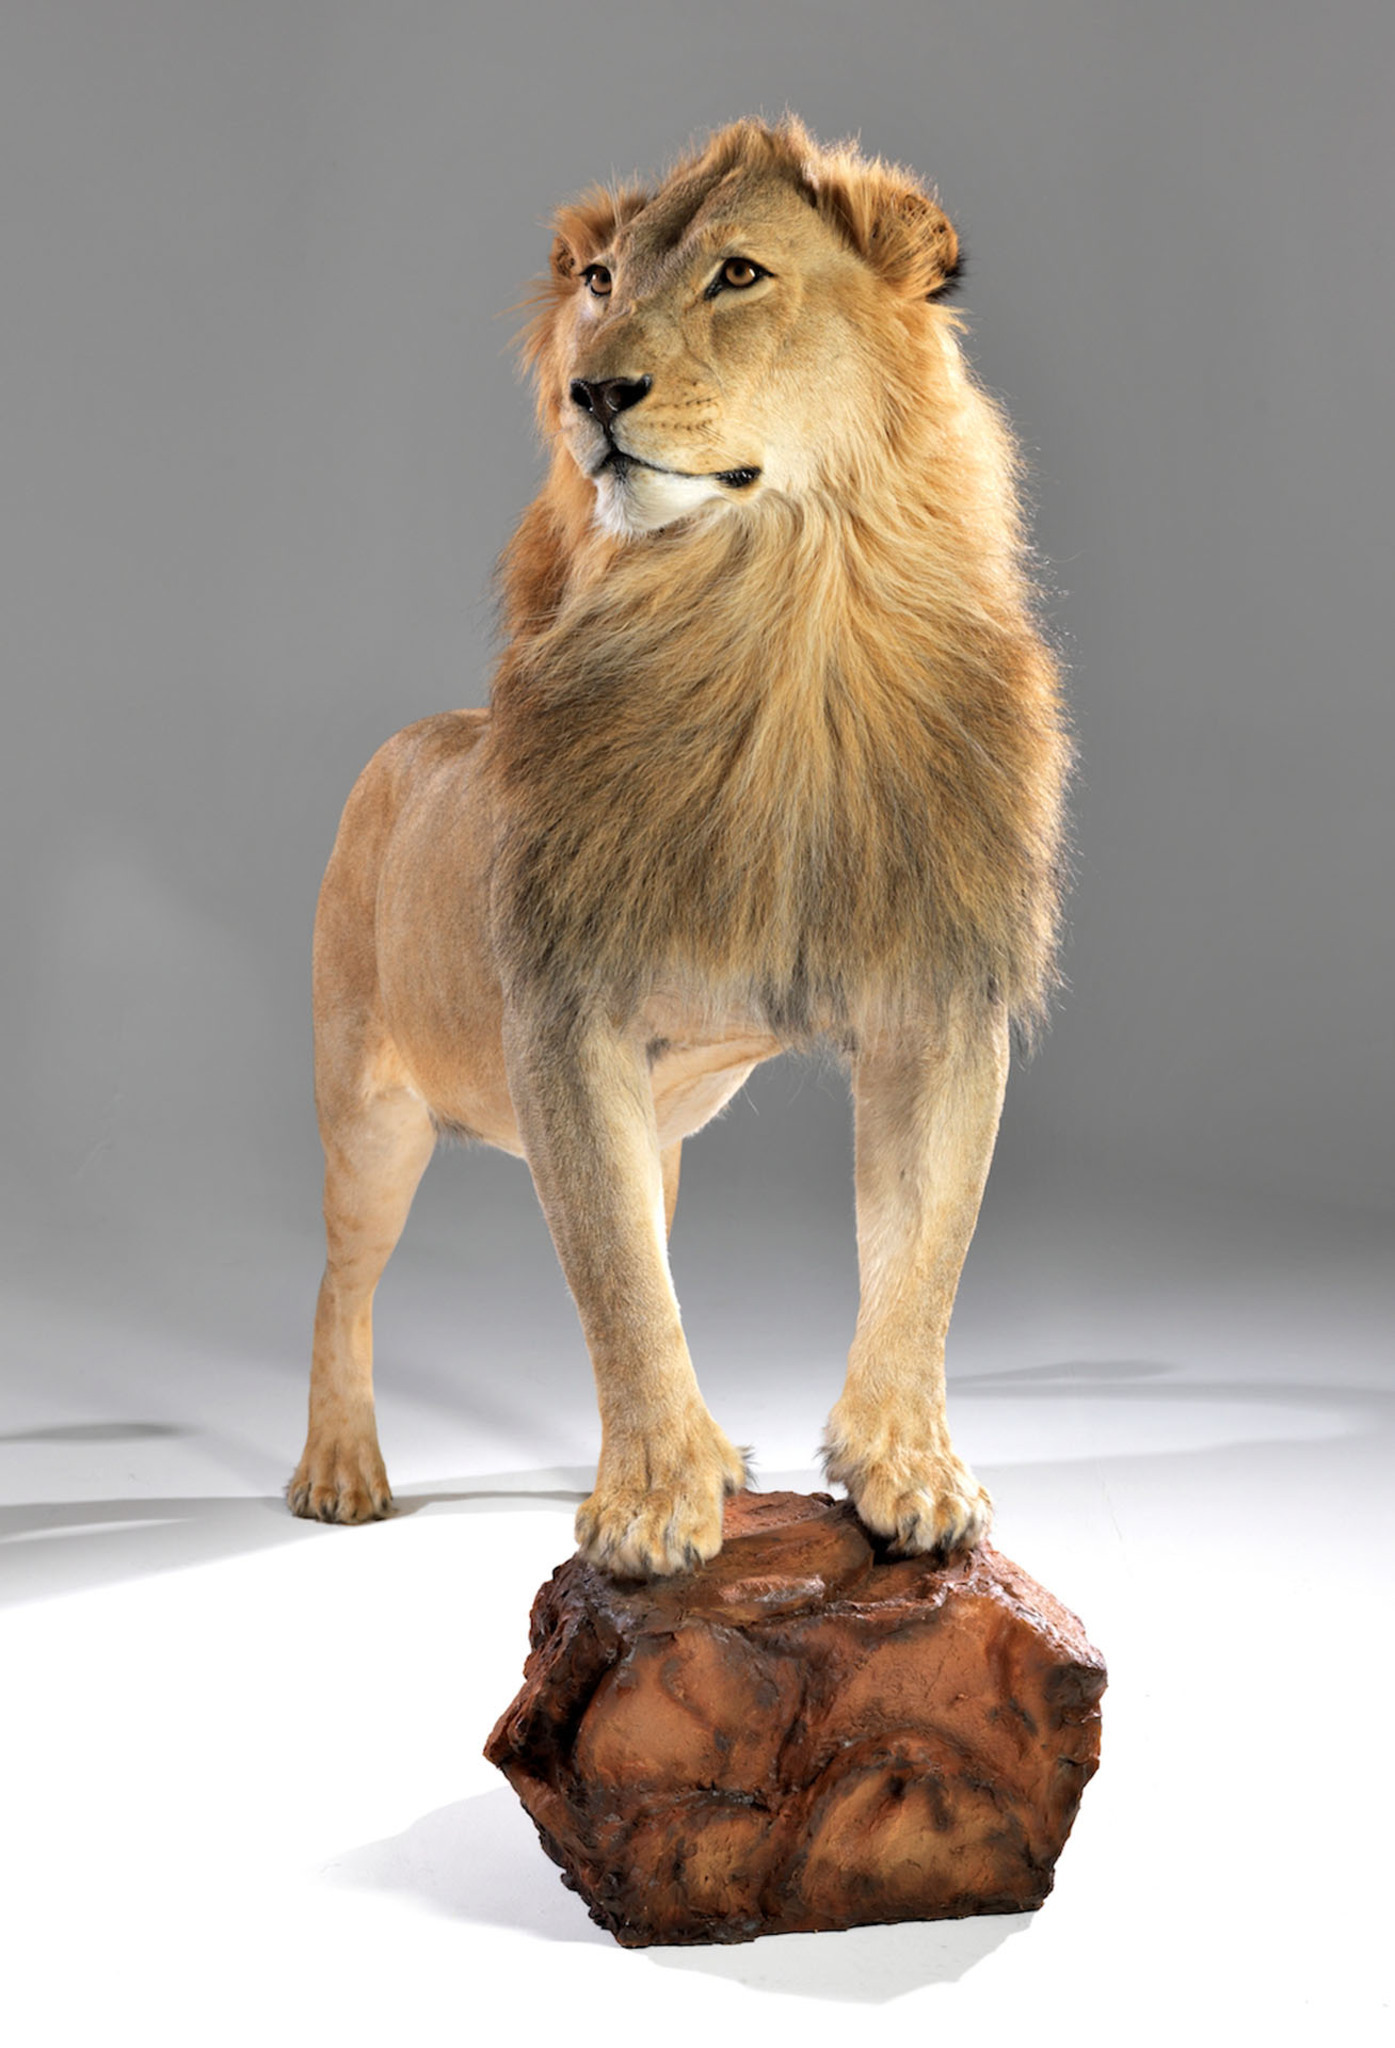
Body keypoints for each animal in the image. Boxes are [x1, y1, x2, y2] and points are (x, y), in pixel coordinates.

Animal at [288, 117, 1070, 1577]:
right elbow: (619, 1292)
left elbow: (919, 1266)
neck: (770, 620)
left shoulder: (939, 1006)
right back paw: (340, 1468)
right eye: (599, 281)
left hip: (656, 1132)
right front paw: (654, 1507)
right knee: (342, 1282)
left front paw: (908, 1472)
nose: (593, 389)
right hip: (367, 1110)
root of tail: (415, 735)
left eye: (737, 273)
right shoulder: (564, 1019)